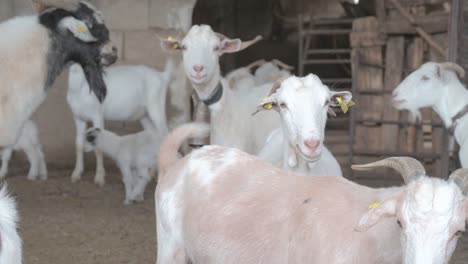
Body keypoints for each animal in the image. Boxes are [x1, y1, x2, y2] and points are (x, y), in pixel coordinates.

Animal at [66, 59, 175, 187]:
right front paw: (76, 174)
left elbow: (98, 148)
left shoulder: (97, 115)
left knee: (166, 136)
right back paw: (152, 172)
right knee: (155, 137)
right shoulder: (78, 118)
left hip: (156, 109)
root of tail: (162, 76)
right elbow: (78, 144)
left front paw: (99, 178)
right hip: (144, 116)